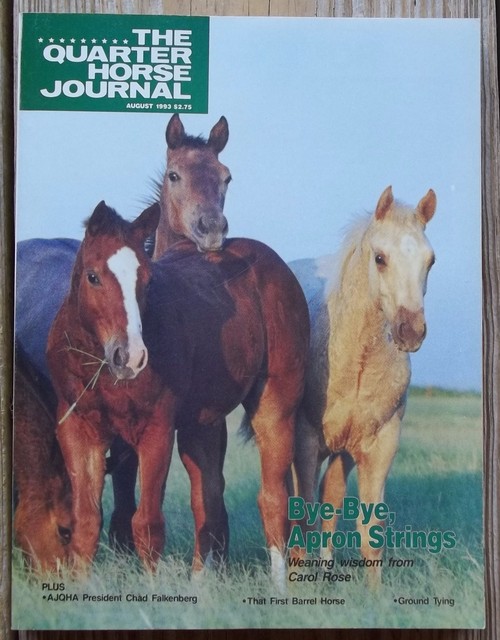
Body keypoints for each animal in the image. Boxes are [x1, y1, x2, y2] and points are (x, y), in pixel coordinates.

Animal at [46, 201, 309, 587]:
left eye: (146, 279)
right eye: (93, 277)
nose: (131, 356)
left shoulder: (155, 431)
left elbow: (148, 524)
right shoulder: (77, 430)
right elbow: (86, 523)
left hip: (274, 408)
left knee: (273, 498)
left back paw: (279, 589)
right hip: (201, 425)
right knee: (208, 499)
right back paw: (201, 583)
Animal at [289, 186, 436, 585]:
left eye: (430, 261)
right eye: (380, 258)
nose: (410, 332)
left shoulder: (381, 445)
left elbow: (369, 531)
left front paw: (376, 596)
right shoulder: (305, 440)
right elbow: (304, 517)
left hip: (342, 451)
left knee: (331, 500)